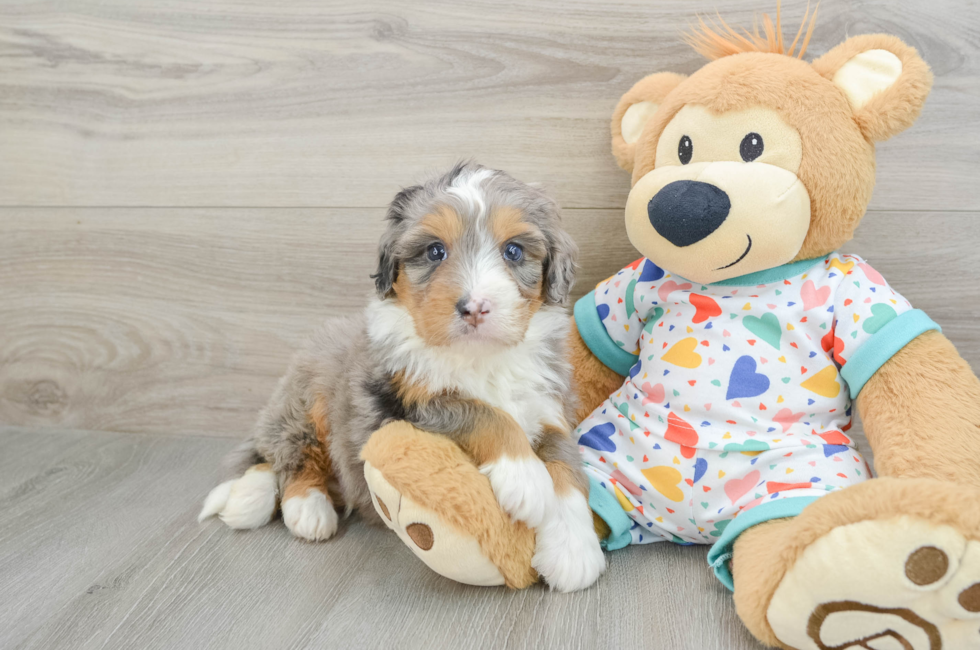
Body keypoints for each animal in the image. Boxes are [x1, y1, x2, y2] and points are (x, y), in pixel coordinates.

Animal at [199, 163, 604, 592]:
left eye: (513, 251)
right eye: (435, 251)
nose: (475, 307)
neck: (479, 357)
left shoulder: (548, 406)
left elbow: (566, 464)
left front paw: (574, 551)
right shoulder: (404, 402)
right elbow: (483, 413)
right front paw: (524, 477)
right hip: (307, 398)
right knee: (285, 455)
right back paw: (299, 508)